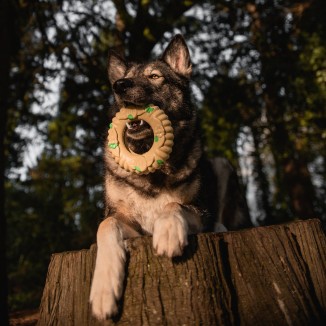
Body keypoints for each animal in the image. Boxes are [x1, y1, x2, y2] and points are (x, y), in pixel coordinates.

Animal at [89, 34, 250, 320]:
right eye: (124, 78)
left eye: (154, 77)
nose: (119, 86)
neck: (149, 167)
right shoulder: (125, 220)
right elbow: (106, 225)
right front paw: (104, 289)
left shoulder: (197, 209)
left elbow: (175, 204)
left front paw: (168, 230)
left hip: (222, 166)